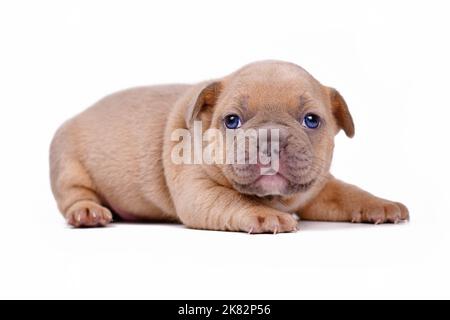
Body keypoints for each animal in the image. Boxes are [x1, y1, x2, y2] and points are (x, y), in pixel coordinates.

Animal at [51, 60, 410, 232]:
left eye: (311, 120)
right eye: (232, 121)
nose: (270, 137)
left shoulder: (318, 188)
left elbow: (349, 193)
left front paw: (382, 204)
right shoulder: (199, 191)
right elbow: (234, 198)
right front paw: (267, 216)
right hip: (68, 164)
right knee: (75, 194)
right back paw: (87, 213)